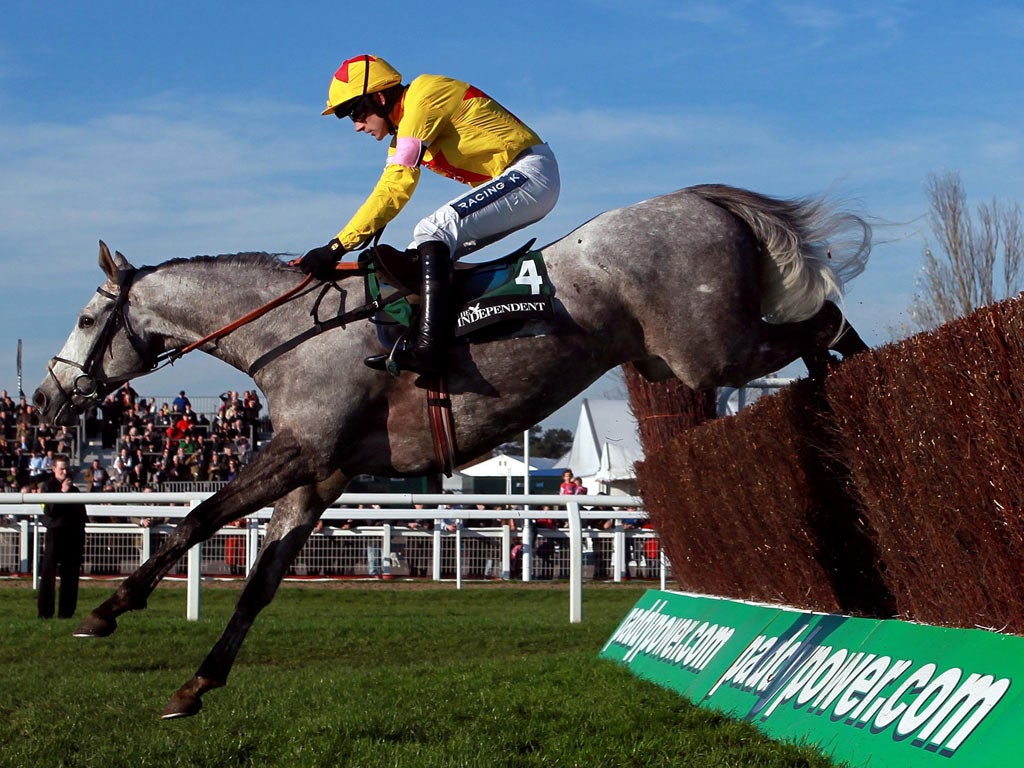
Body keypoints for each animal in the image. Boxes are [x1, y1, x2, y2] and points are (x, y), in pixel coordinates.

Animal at [28, 183, 868, 720]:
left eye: (86, 317)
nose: (44, 399)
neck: (291, 332)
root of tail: (705, 201)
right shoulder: (322, 474)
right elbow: (260, 582)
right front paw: (196, 685)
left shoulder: (300, 451)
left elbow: (196, 519)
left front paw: (106, 611)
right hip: (683, 358)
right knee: (815, 327)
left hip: (709, 351)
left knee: (822, 323)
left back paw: (857, 378)